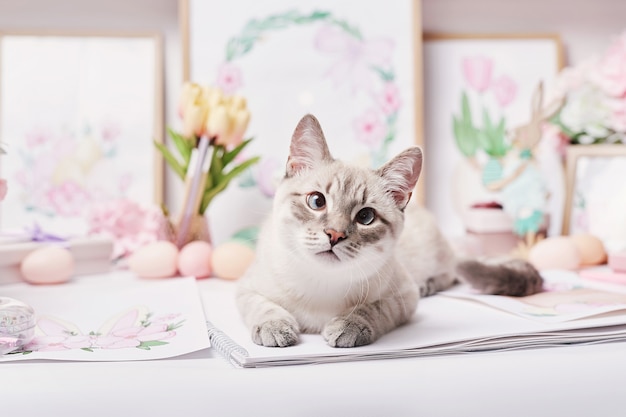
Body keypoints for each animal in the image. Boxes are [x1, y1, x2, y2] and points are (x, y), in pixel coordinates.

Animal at [234, 113, 540, 348]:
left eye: (365, 217)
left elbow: (372, 309)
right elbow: (263, 306)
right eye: (317, 202)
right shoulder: (245, 288)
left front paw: (349, 326)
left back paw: (429, 284)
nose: (334, 235)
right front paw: (275, 328)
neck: (321, 283)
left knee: (451, 270)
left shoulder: (403, 296)